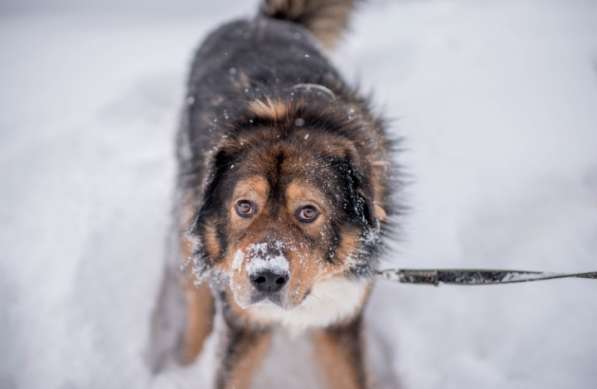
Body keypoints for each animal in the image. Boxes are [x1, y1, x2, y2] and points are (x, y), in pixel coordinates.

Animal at [147, 1, 398, 386]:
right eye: (244, 207)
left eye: (309, 212)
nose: (266, 277)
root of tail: (260, 21)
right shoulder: (243, 320)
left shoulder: (342, 315)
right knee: (194, 304)